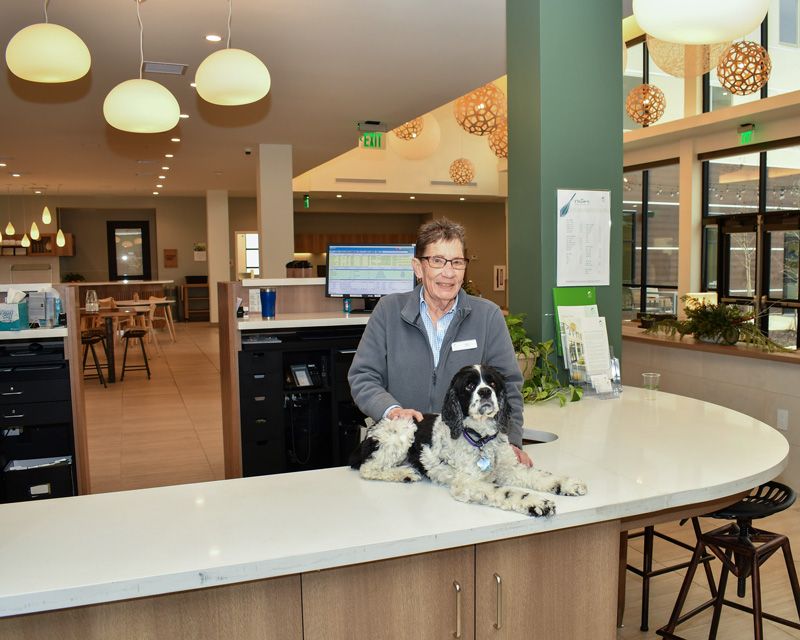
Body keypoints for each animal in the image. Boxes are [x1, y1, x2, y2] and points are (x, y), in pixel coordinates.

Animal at [350, 364, 588, 516]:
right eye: (469, 386)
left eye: (492, 383)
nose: (485, 392)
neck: (482, 438)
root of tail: (371, 430)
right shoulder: (468, 483)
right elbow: (507, 491)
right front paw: (537, 502)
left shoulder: (508, 469)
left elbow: (538, 475)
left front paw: (567, 484)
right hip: (403, 432)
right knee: (368, 469)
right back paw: (405, 473)